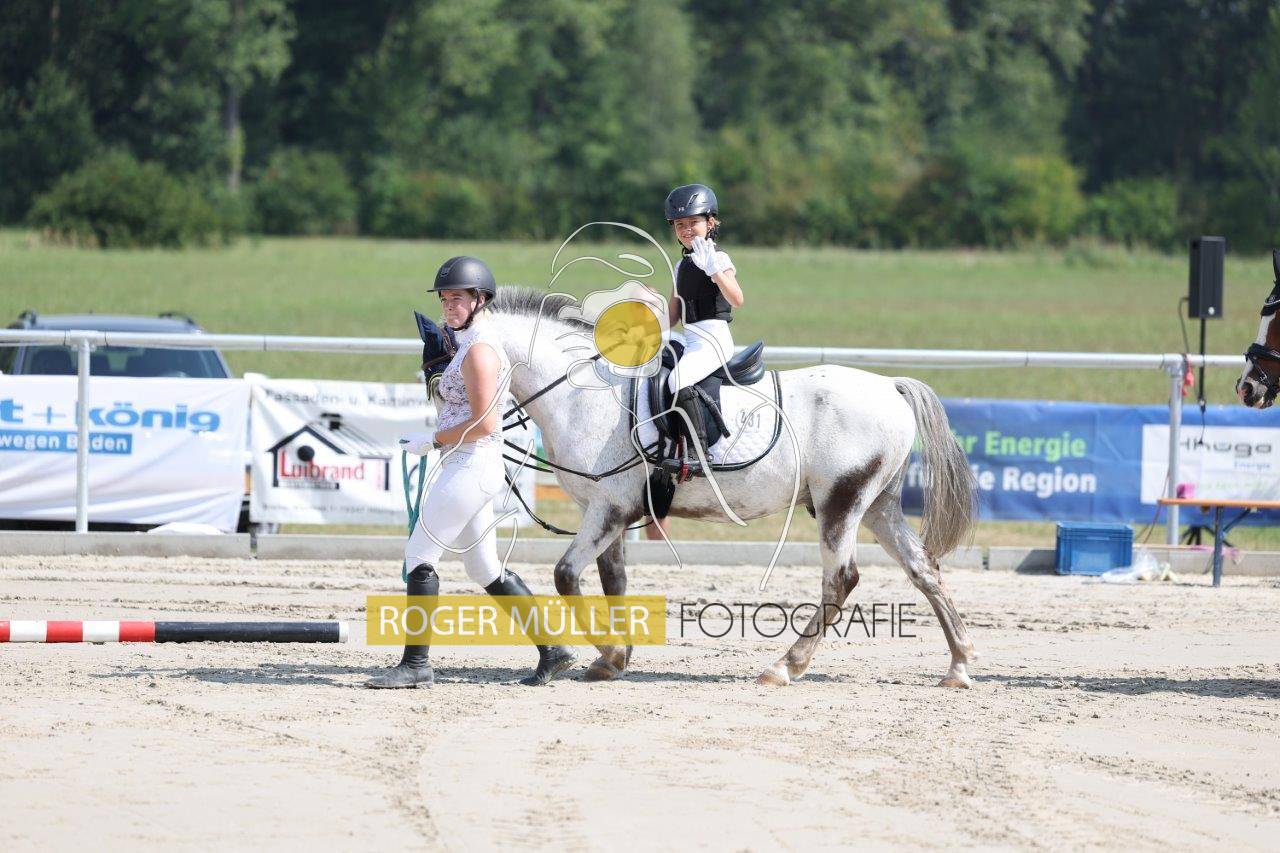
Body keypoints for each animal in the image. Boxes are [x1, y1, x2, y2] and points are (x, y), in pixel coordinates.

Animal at [484, 286, 980, 688]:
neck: (584, 394)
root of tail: (891, 387)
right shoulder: (610, 510)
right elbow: (614, 581)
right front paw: (614, 658)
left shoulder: (609, 509)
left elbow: (566, 574)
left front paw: (608, 651)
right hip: (879, 507)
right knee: (923, 569)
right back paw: (958, 666)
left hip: (841, 503)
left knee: (841, 580)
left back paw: (785, 666)